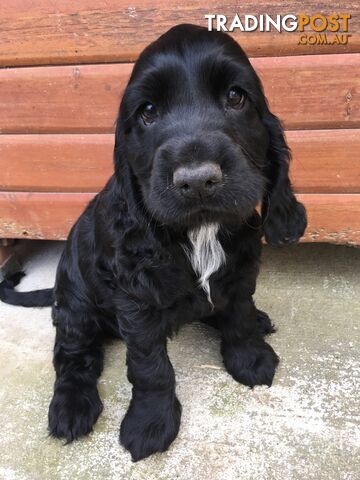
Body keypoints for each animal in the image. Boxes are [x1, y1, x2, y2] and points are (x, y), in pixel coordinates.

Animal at [0, 25, 306, 462]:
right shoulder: (136, 300)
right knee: (72, 356)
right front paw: (150, 423)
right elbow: (150, 366)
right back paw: (71, 407)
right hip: (76, 305)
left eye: (236, 97)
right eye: (147, 111)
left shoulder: (242, 268)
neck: (198, 232)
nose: (198, 180)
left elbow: (239, 315)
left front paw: (250, 357)